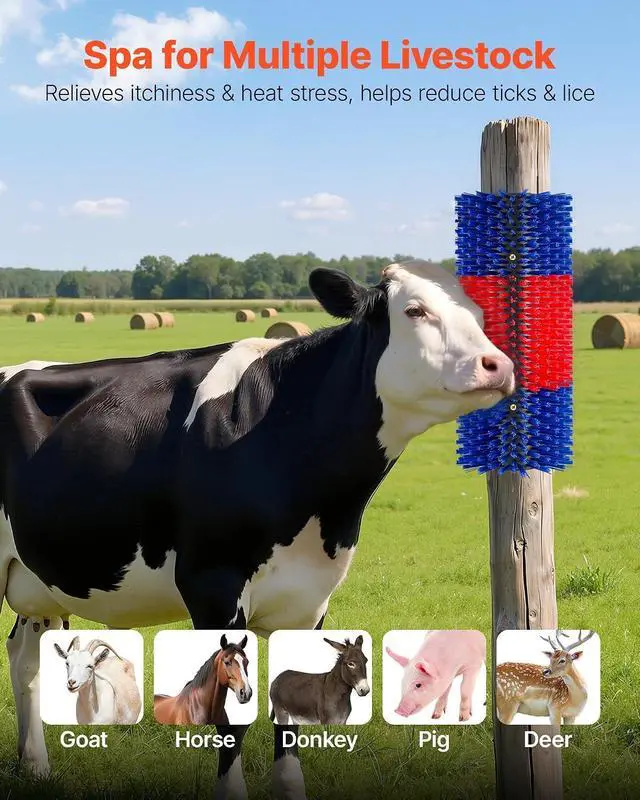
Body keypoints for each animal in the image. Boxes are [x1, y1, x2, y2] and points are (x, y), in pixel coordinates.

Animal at [0, 261, 514, 799]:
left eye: (480, 313)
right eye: (414, 310)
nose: (498, 365)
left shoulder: (311, 597)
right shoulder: (212, 585)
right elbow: (230, 718)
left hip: (38, 579)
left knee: (25, 656)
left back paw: (36, 765)